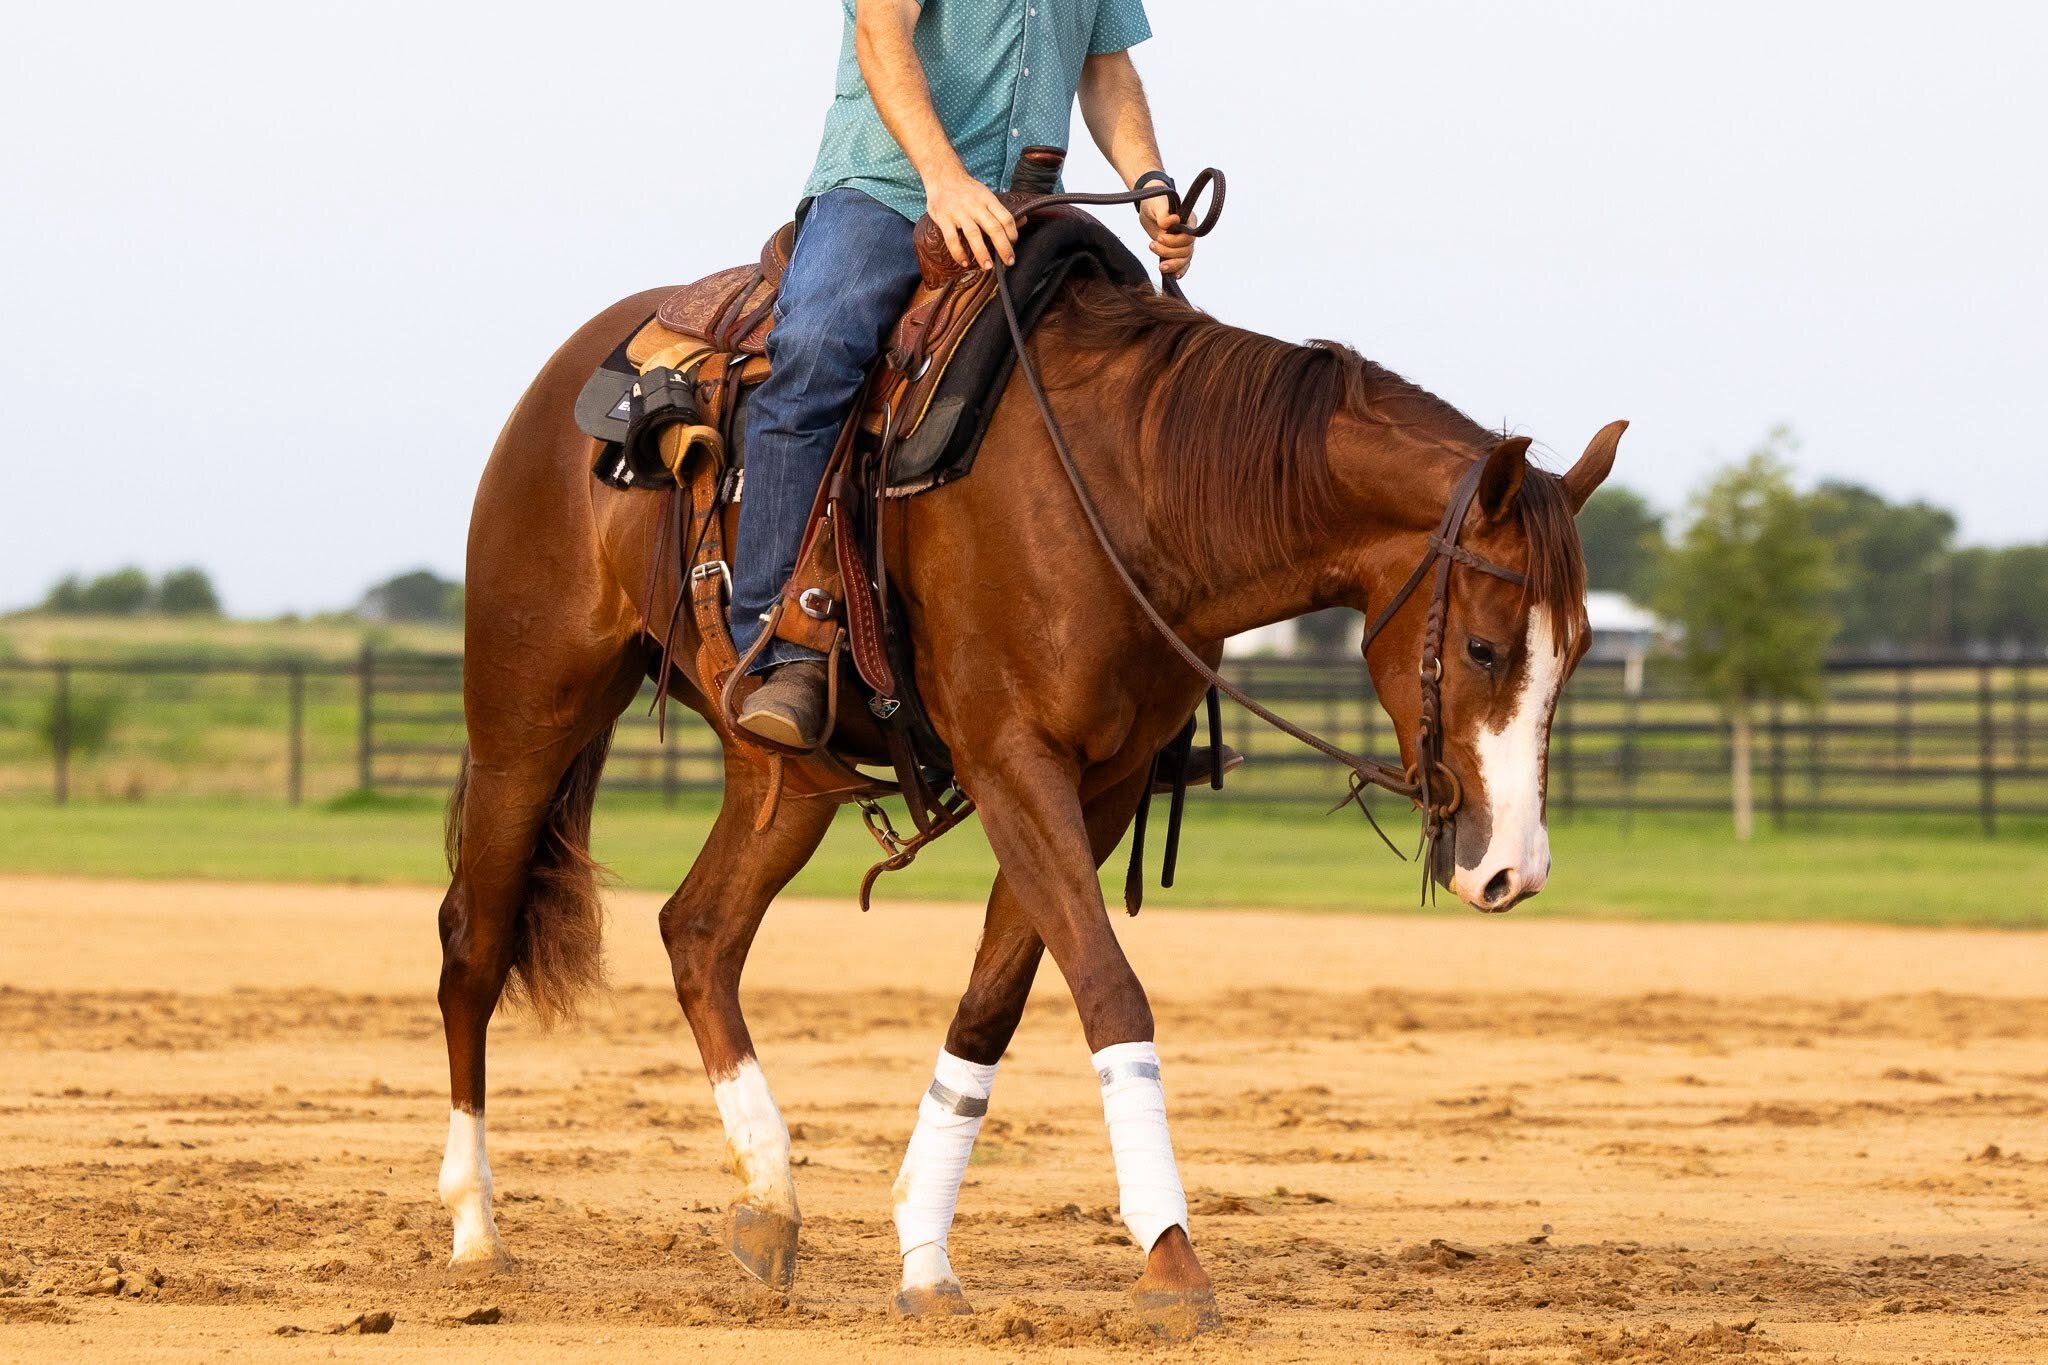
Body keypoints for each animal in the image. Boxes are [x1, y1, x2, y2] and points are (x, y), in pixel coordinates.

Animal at [434, 262, 1625, 1333]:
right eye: (1483, 646)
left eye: (1576, 650)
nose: (1512, 869)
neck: (1128, 484)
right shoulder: (1016, 762)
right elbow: (1109, 989)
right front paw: (1172, 1260)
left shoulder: (1101, 786)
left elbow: (992, 1006)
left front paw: (923, 1256)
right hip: (528, 719)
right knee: (474, 943)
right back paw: (476, 1230)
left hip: (781, 774)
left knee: (699, 932)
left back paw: (769, 1200)